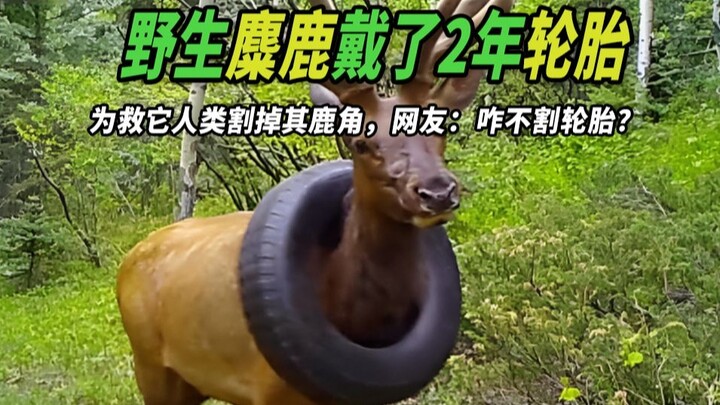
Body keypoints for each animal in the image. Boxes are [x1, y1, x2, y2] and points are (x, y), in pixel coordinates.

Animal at [116, 0, 515, 404]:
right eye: (360, 142)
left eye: (440, 123)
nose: (437, 192)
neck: (353, 314)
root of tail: (127, 261)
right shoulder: (269, 389)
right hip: (149, 363)